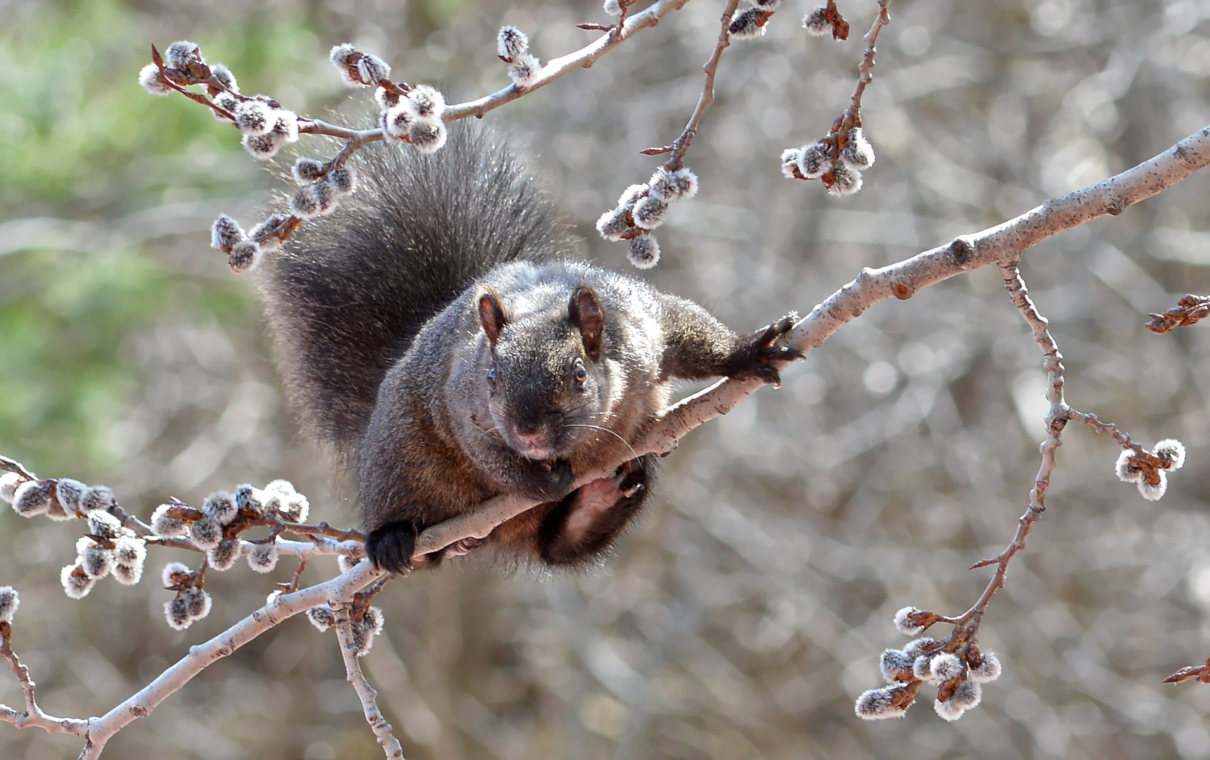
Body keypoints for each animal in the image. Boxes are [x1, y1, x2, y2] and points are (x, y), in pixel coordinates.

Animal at [260, 127, 798, 573]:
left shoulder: (642, 330)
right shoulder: (462, 400)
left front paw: (749, 353)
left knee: (562, 544)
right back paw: (394, 540)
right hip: (398, 459)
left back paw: (601, 495)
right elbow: (484, 449)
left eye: (579, 375)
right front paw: (540, 481)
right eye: (492, 378)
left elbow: (689, 331)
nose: (529, 434)